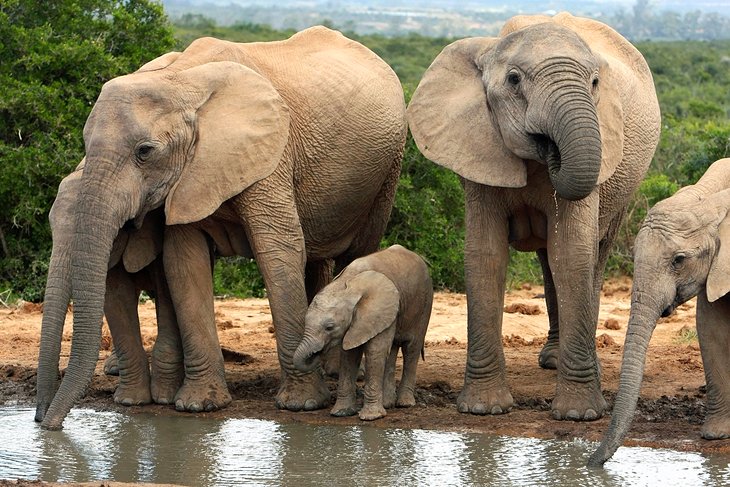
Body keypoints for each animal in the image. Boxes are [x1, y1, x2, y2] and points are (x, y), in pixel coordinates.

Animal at [34, 25, 406, 430]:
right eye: (85, 145)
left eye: (145, 151)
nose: (43, 423)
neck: (182, 81)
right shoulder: (187, 177)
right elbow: (183, 262)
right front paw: (200, 406)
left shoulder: (269, 152)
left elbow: (277, 251)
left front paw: (302, 405)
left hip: (387, 171)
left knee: (356, 253)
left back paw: (339, 371)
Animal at [292, 246, 432, 422]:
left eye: (329, 327)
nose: (316, 353)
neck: (349, 285)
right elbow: (349, 355)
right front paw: (341, 413)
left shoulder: (379, 309)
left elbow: (375, 351)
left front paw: (371, 417)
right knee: (392, 349)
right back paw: (388, 404)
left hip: (424, 304)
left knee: (411, 349)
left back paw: (405, 404)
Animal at [404, 13, 660, 422]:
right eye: (513, 80)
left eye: (595, 83)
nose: (552, 151)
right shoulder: (478, 148)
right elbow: (486, 254)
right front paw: (484, 409)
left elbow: (572, 254)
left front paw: (579, 416)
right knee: (548, 261)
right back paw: (552, 361)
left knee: (591, 256)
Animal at [584, 158, 730, 468]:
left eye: (679, 260)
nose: (590, 464)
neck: (710, 203)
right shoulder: (716, 266)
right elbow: (710, 327)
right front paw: (715, 435)